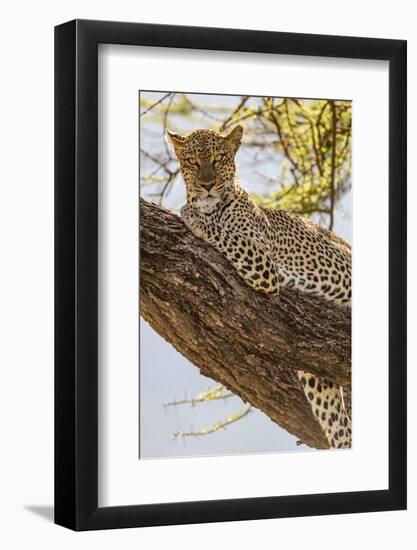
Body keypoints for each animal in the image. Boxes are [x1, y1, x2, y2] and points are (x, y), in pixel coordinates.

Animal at [166, 124, 352, 448]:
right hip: (318, 378)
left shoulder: (264, 262)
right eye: (191, 161)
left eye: (218, 158)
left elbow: (223, 233)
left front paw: (191, 215)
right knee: (340, 428)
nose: (207, 186)